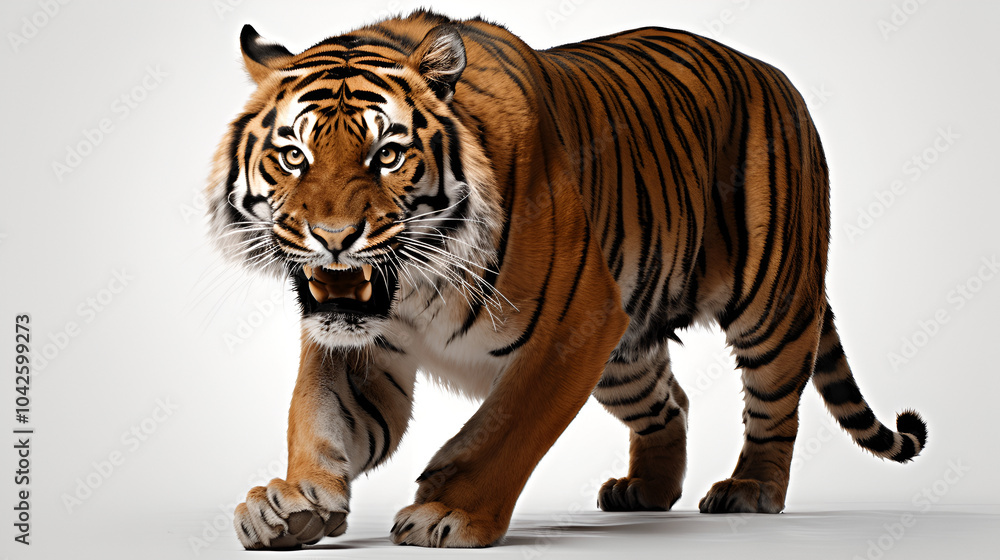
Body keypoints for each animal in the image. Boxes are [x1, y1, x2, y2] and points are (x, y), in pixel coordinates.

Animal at [206, 9, 927, 550]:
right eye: (293, 156)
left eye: (386, 154)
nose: (332, 237)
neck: (415, 285)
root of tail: (774, 74)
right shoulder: (362, 345)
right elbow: (318, 417)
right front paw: (288, 502)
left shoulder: (574, 327)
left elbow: (505, 427)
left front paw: (450, 510)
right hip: (625, 357)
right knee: (670, 403)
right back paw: (646, 492)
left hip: (770, 305)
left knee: (776, 408)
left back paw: (750, 490)